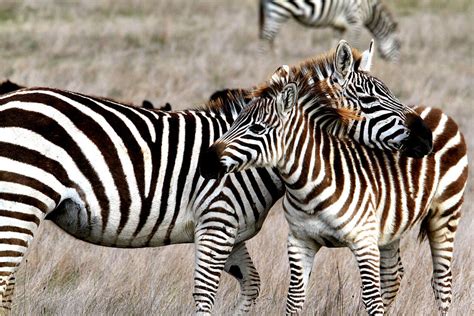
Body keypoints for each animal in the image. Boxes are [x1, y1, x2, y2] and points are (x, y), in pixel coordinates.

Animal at [200, 40, 466, 314]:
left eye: (257, 128)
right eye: (369, 98)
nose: (426, 137)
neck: (307, 185)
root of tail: (437, 110)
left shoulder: (364, 241)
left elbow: (372, 300)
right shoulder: (299, 241)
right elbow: (294, 300)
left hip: (446, 214)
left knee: (442, 281)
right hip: (392, 226)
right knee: (393, 275)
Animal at [260, 0, 400, 60]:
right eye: (399, 46)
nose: (396, 66)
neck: (369, 10)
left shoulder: (339, 26)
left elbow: (335, 45)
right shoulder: (355, 20)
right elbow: (354, 43)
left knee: (270, 37)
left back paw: (275, 58)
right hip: (280, 11)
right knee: (267, 37)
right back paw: (265, 61)